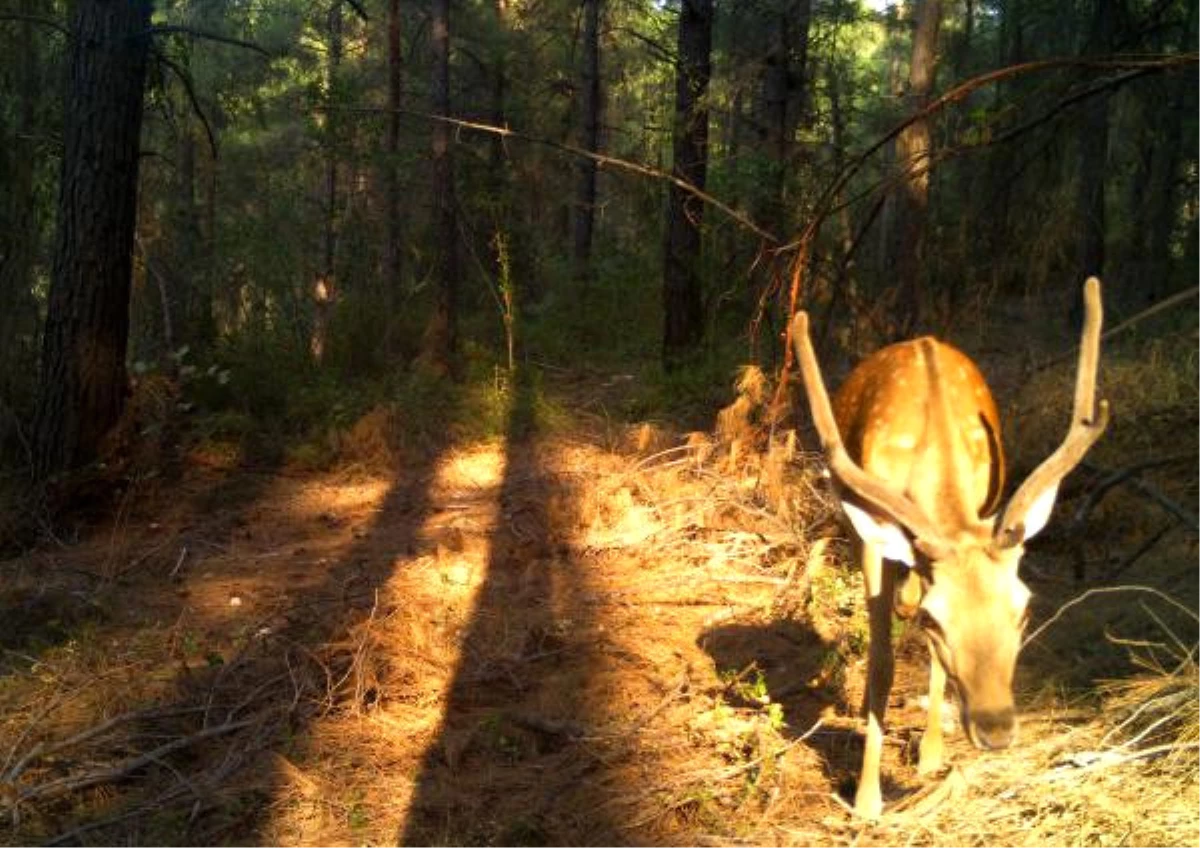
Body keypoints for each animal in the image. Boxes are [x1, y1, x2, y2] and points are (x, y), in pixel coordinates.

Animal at [792, 280, 1108, 820]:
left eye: (1025, 610)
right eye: (935, 620)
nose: (997, 730)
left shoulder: (983, 514)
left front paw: (930, 753)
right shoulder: (872, 541)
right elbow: (882, 661)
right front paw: (867, 797)